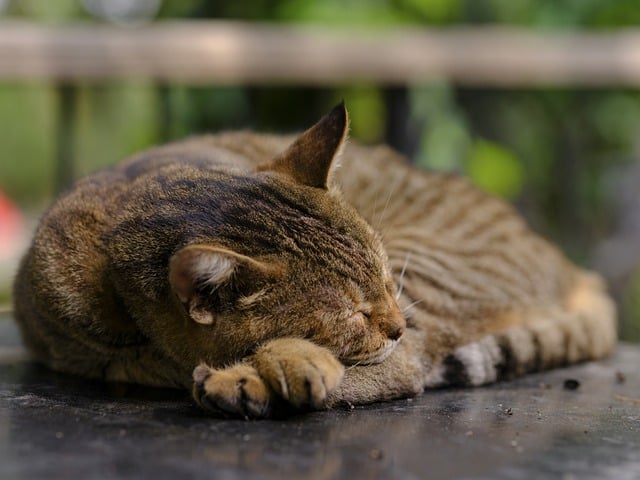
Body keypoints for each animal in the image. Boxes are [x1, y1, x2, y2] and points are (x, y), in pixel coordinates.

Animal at [13, 103, 616, 418]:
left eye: (386, 278)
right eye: (353, 311)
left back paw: (257, 379)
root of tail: (576, 271)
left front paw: (263, 369)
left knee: (406, 367)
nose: (395, 323)